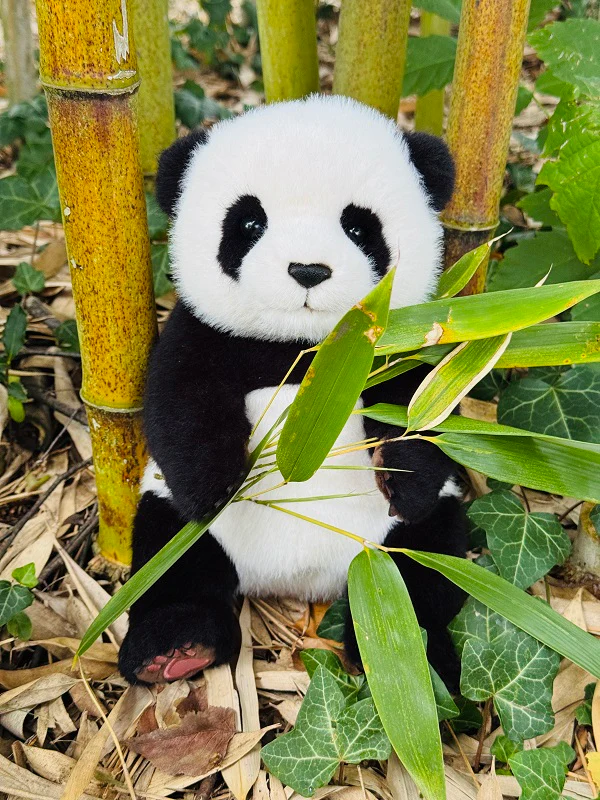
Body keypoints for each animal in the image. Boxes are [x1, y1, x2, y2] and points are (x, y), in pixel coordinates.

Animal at [118, 94, 467, 688]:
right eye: (249, 222)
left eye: (359, 228)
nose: (307, 270)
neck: (307, 351)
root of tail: (299, 579)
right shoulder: (203, 333)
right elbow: (176, 403)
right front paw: (215, 485)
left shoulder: (403, 339)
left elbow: (428, 410)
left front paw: (404, 477)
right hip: (182, 526)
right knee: (170, 559)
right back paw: (175, 648)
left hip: (392, 544)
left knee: (426, 566)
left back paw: (414, 662)